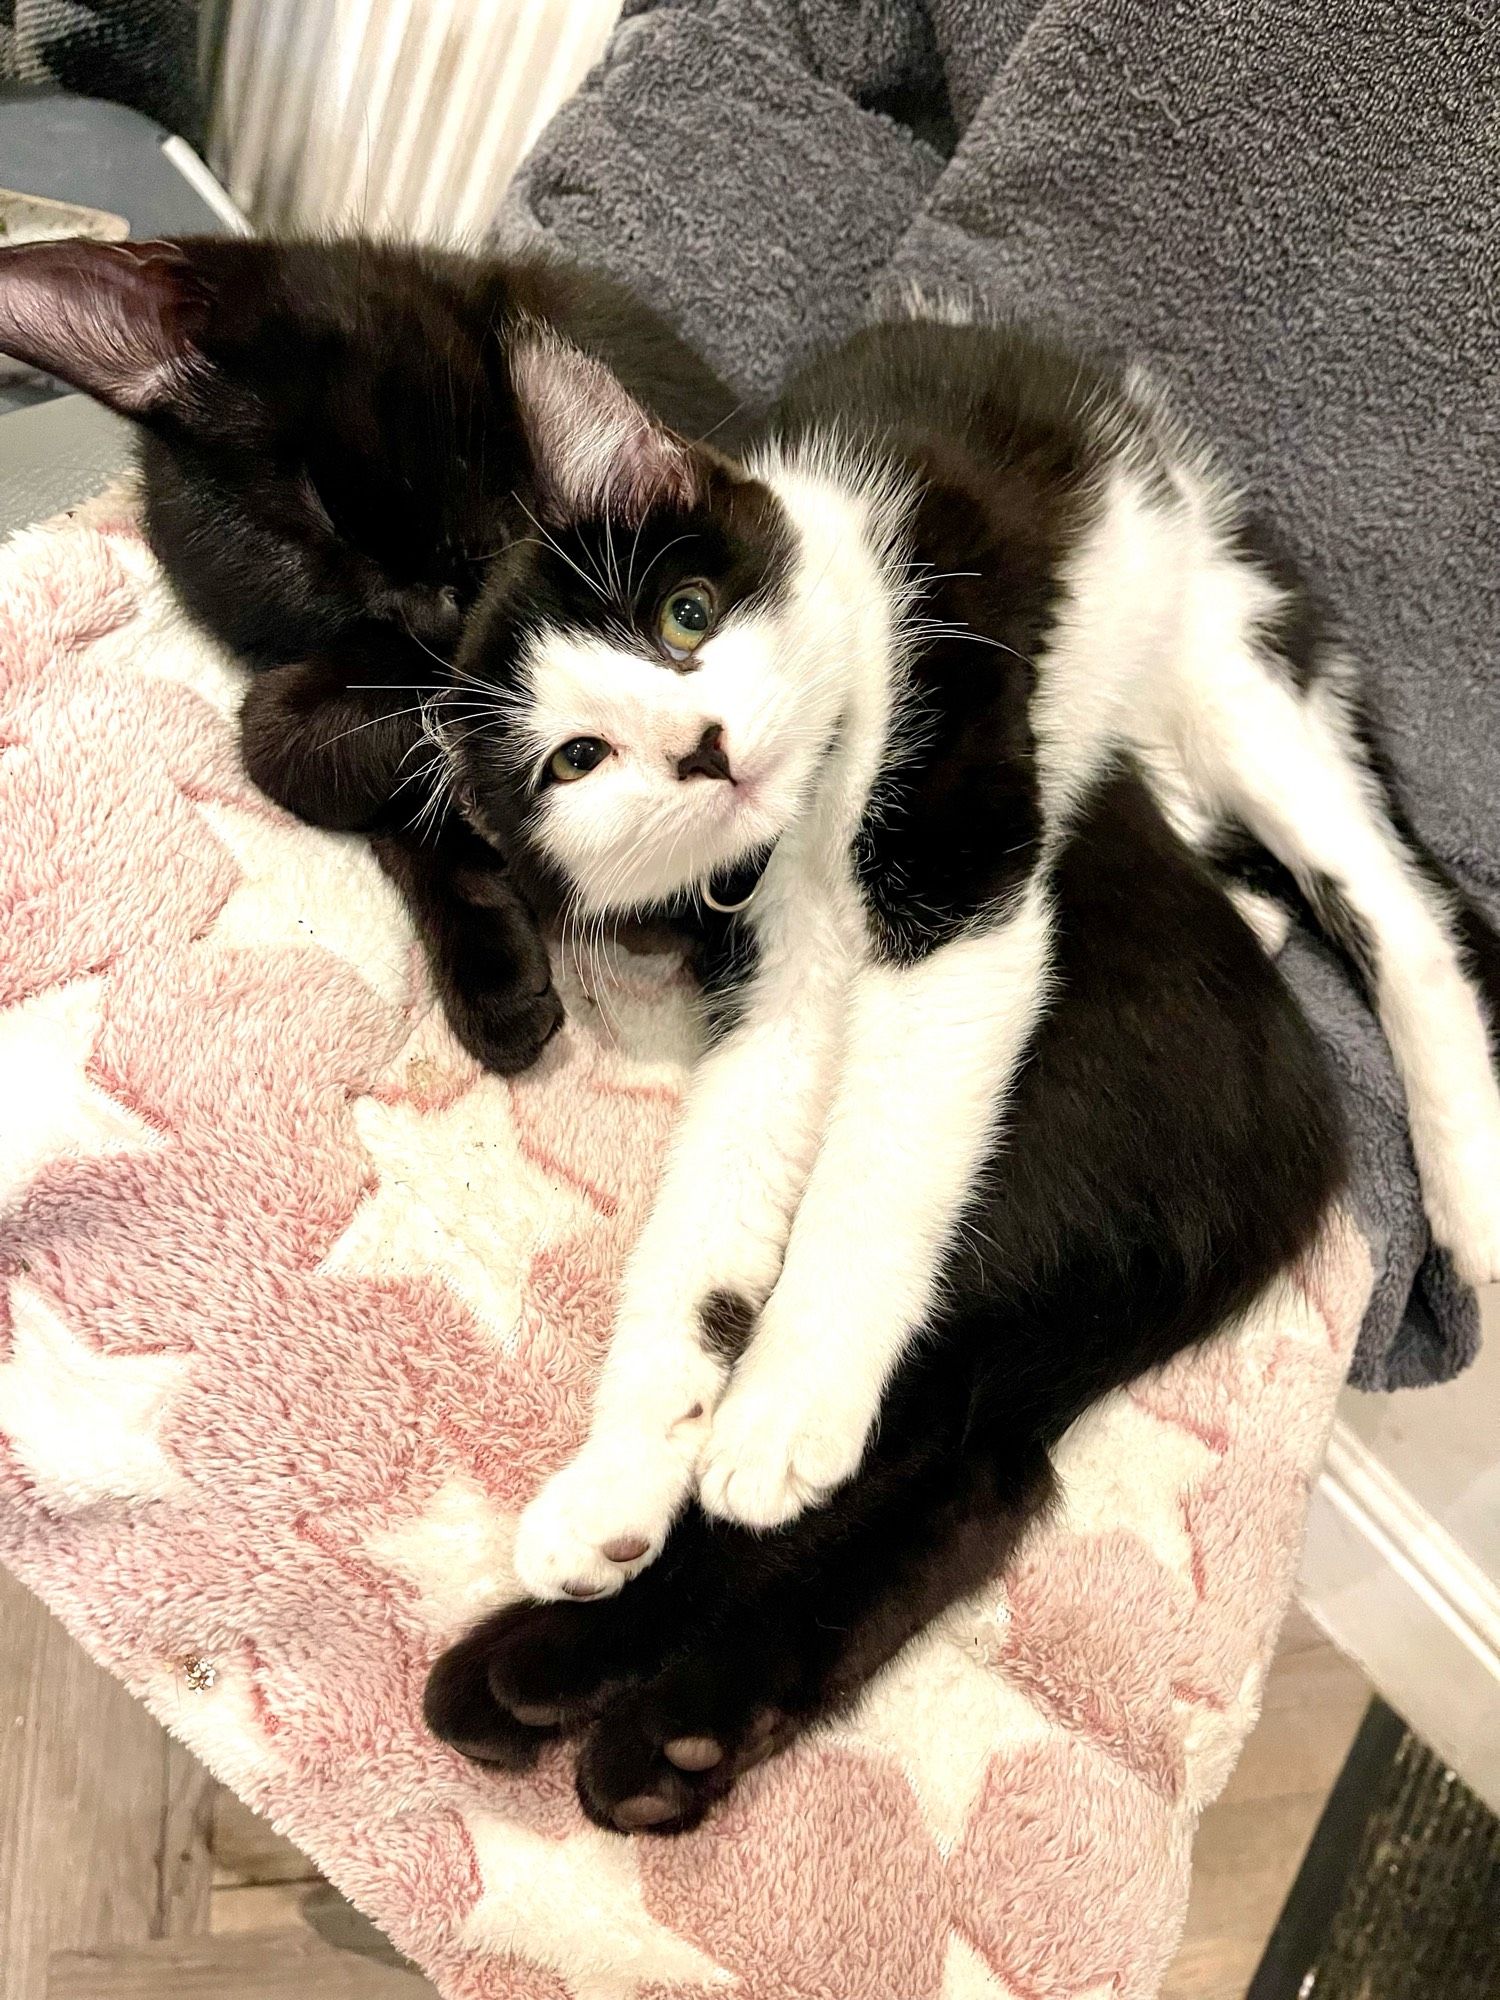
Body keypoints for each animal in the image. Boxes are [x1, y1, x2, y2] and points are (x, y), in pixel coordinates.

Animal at [420, 308, 1500, 1832]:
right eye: (576, 757)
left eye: (684, 615)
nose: (702, 750)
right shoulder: (767, 976)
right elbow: (714, 1202)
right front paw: (619, 1476)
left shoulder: (956, 827)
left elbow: (887, 1146)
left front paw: (783, 1409)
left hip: (1220, 656)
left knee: (1400, 906)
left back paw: (1470, 1186)